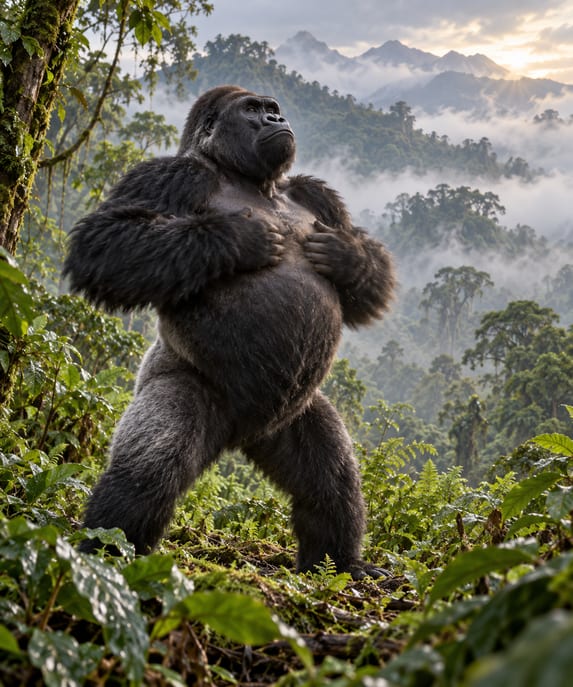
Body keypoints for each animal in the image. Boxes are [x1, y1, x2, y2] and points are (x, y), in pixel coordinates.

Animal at [64, 85, 395, 579]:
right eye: (253, 110)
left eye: (271, 108)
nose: (276, 117)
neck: (253, 181)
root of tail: (240, 435)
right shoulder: (172, 175)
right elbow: (107, 239)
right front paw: (237, 237)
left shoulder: (318, 194)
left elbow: (365, 278)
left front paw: (346, 255)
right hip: (185, 386)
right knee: (149, 467)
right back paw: (108, 554)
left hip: (289, 414)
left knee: (331, 476)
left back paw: (340, 560)